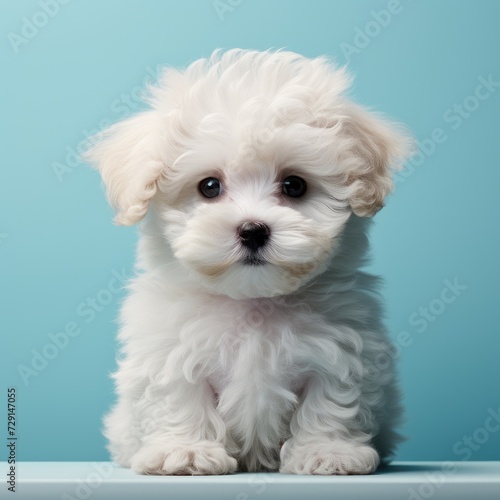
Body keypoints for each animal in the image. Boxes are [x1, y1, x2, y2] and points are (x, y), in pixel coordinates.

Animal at [87, 50, 414, 476]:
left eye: (294, 185)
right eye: (209, 186)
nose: (253, 230)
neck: (253, 303)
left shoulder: (343, 350)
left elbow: (331, 401)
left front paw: (327, 451)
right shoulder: (168, 349)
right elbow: (178, 398)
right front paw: (185, 451)